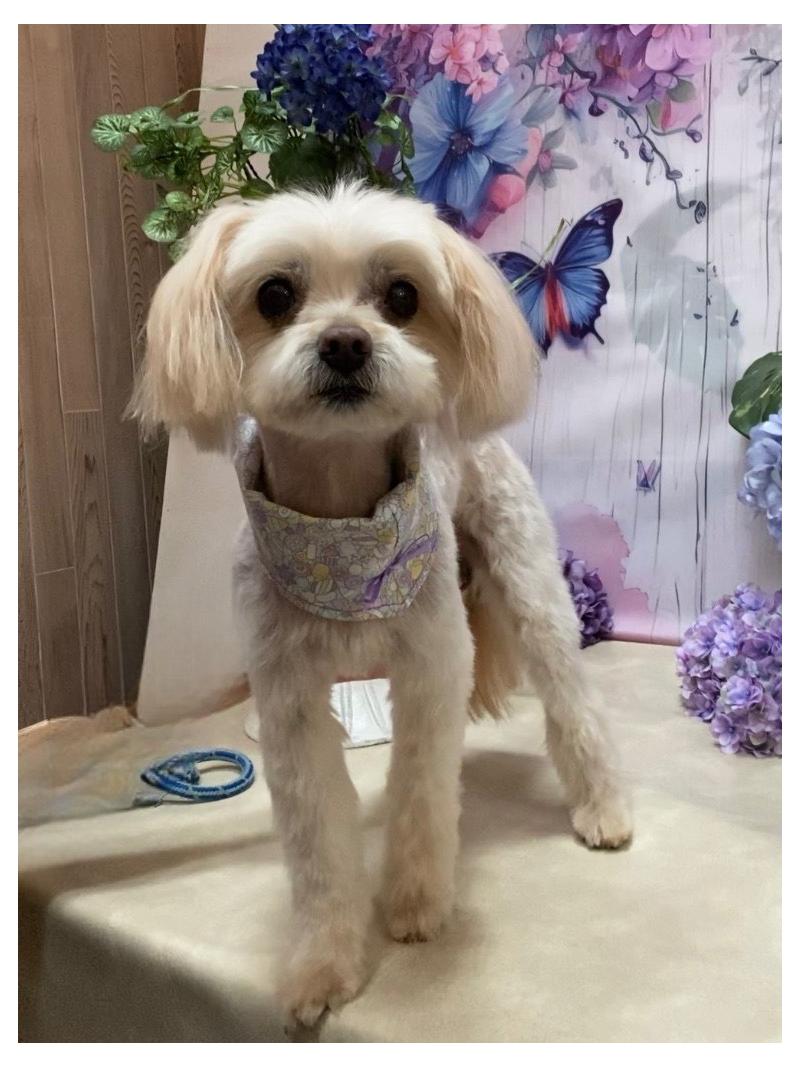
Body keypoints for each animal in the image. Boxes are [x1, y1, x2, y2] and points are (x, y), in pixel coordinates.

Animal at [133, 181, 633, 1027]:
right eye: (275, 294)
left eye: (402, 295)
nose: (344, 343)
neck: (340, 533)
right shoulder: (290, 702)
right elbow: (316, 845)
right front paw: (323, 964)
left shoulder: (431, 666)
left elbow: (423, 793)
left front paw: (417, 905)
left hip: (531, 586)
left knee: (574, 703)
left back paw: (603, 808)